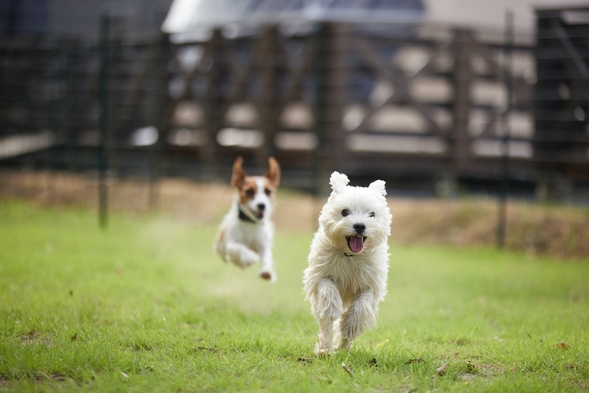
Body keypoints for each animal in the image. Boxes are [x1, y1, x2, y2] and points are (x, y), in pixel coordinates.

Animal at [304, 172, 390, 356]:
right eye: (345, 212)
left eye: (372, 214)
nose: (359, 225)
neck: (350, 256)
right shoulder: (318, 274)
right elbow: (327, 287)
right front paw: (333, 307)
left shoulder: (371, 285)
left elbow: (361, 306)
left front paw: (350, 325)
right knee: (326, 326)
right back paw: (325, 350)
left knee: (346, 335)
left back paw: (343, 347)